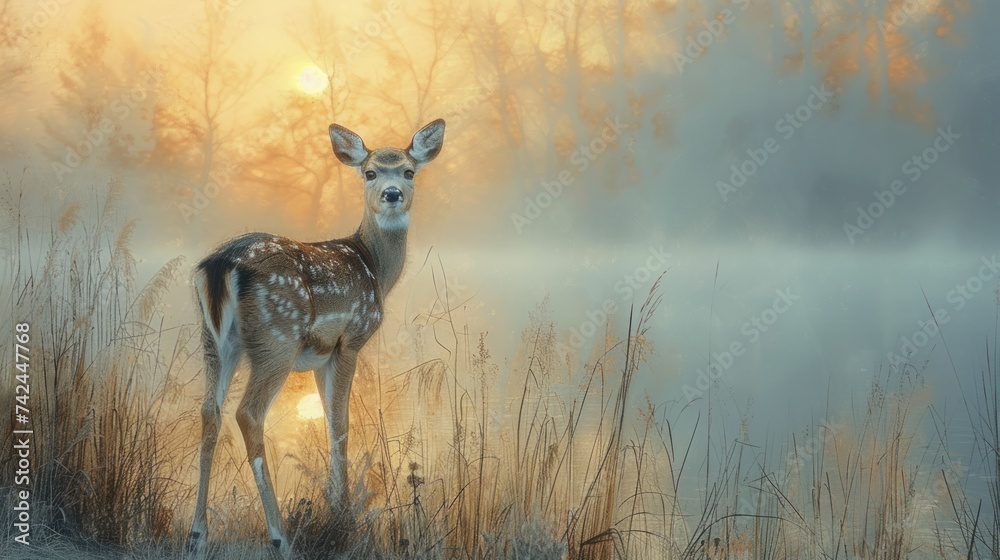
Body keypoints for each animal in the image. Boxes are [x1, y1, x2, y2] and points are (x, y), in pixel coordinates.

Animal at [186, 119, 446, 559]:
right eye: (370, 172)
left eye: (409, 171)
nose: (392, 194)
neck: (375, 270)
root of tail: (221, 265)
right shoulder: (350, 339)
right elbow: (341, 422)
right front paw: (342, 514)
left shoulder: (320, 356)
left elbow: (325, 418)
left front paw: (335, 502)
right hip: (277, 339)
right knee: (248, 413)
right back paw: (279, 537)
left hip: (214, 341)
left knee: (209, 411)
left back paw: (196, 534)